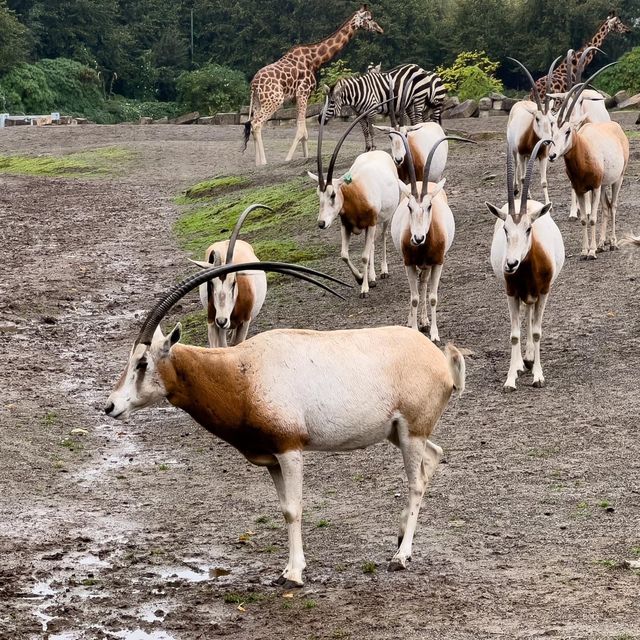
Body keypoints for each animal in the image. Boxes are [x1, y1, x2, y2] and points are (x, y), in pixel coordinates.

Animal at [244, 5, 384, 165]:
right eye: (370, 18)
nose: (380, 29)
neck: (315, 60)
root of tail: (254, 85)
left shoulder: (299, 96)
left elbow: (304, 132)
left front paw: (306, 157)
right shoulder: (303, 92)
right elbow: (301, 130)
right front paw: (288, 159)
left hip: (258, 102)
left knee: (252, 124)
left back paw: (257, 164)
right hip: (274, 100)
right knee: (257, 124)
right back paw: (264, 162)